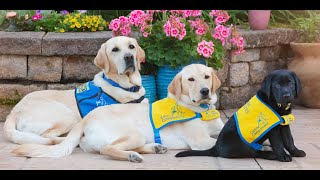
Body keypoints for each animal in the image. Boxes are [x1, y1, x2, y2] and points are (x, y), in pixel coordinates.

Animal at [176, 69, 306, 162]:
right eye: (277, 86)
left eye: (291, 84)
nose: (287, 95)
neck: (277, 105)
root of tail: (215, 148)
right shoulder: (273, 129)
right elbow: (278, 143)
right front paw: (283, 156)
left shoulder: (284, 125)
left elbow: (289, 140)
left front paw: (296, 152)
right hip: (241, 143)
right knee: (252, 153)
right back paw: (271, 154)